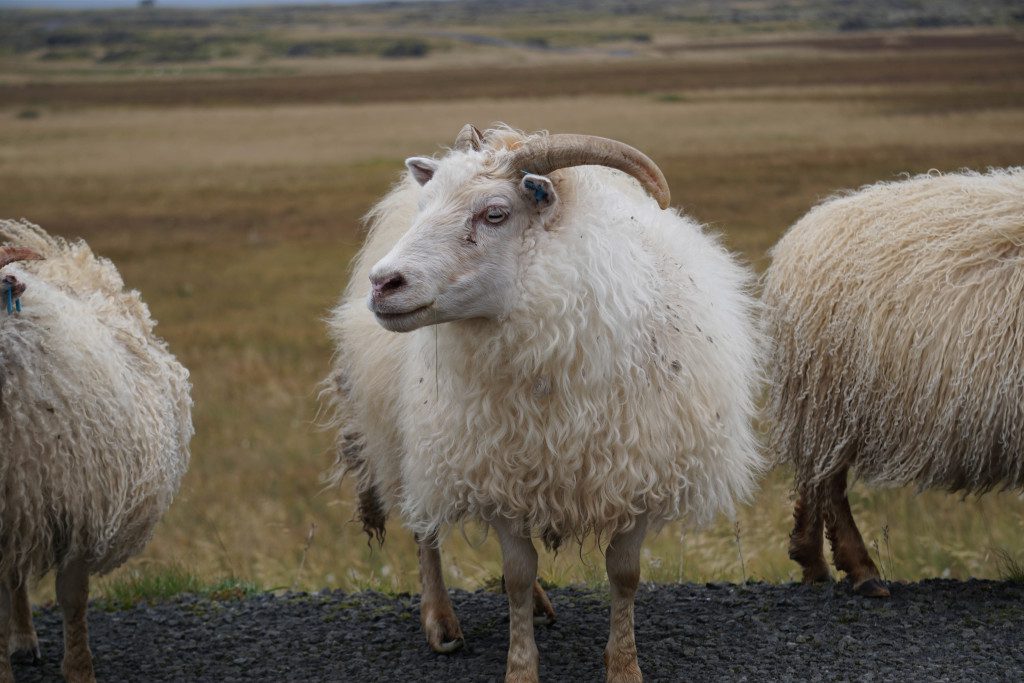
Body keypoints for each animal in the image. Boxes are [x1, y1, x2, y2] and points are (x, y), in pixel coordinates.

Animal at [323, 125, 765, 679]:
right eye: (427, 206)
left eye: (495, 213)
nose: (383, 284)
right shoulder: (495, 472)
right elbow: (514, 572)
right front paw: (521, 668)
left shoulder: (636, 473)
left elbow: (624, 574)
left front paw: (623, 666)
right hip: (405, 439)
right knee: (425, 529)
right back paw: (440, 621)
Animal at [765, 167, 1024, 593]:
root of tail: (802, 234)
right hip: (832, 398)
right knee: (830, 487)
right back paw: (862, 572)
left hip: (820, 402)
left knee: (813, 479)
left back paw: (812, 563)